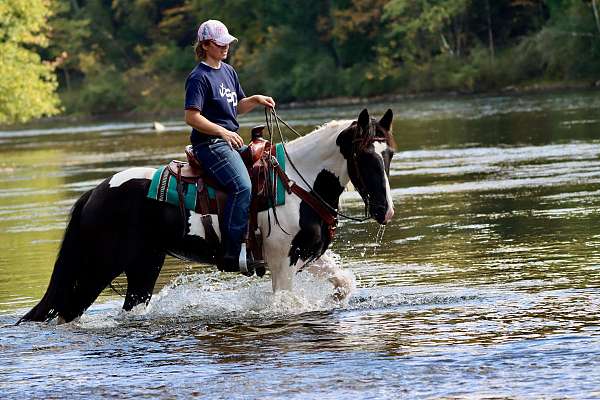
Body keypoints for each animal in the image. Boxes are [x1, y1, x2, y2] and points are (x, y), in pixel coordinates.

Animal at [19, 108, 394, 324]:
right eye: (364, 155)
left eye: (389, 152)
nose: (384, 210)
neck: (298, 183)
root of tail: (94, 193)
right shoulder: (281, 261)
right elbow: (285, 303)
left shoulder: (307, 254)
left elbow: (344, 282)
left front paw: (332, 300)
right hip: (103, 267)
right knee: (70, 311)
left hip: (142, 266)